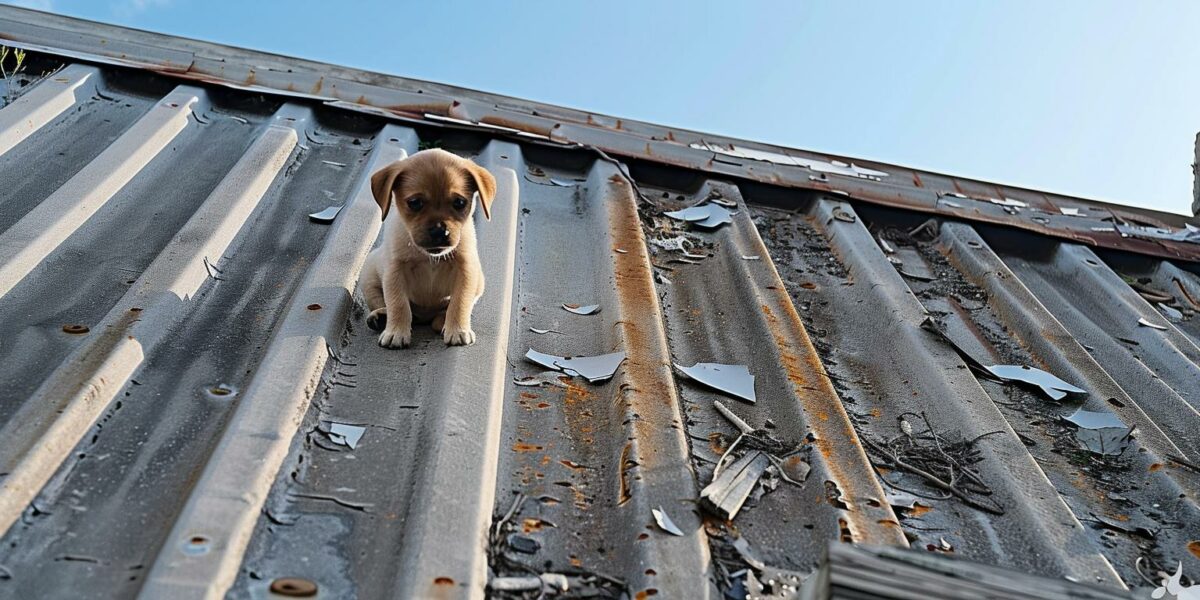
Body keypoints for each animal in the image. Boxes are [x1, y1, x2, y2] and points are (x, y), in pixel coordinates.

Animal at [362, 147, 499, 350]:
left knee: (445, 310)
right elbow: (398, 303)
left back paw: (442, 322)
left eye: (459, 203)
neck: (429, 257)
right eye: (415, 203)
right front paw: (396, 333)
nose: (439, 230)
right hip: (369, 276)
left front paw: (457, 330)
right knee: (384, 303)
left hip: (479, 282)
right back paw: (381, 317)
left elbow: (460, 302)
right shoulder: (395, 272)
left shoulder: (466, 271)